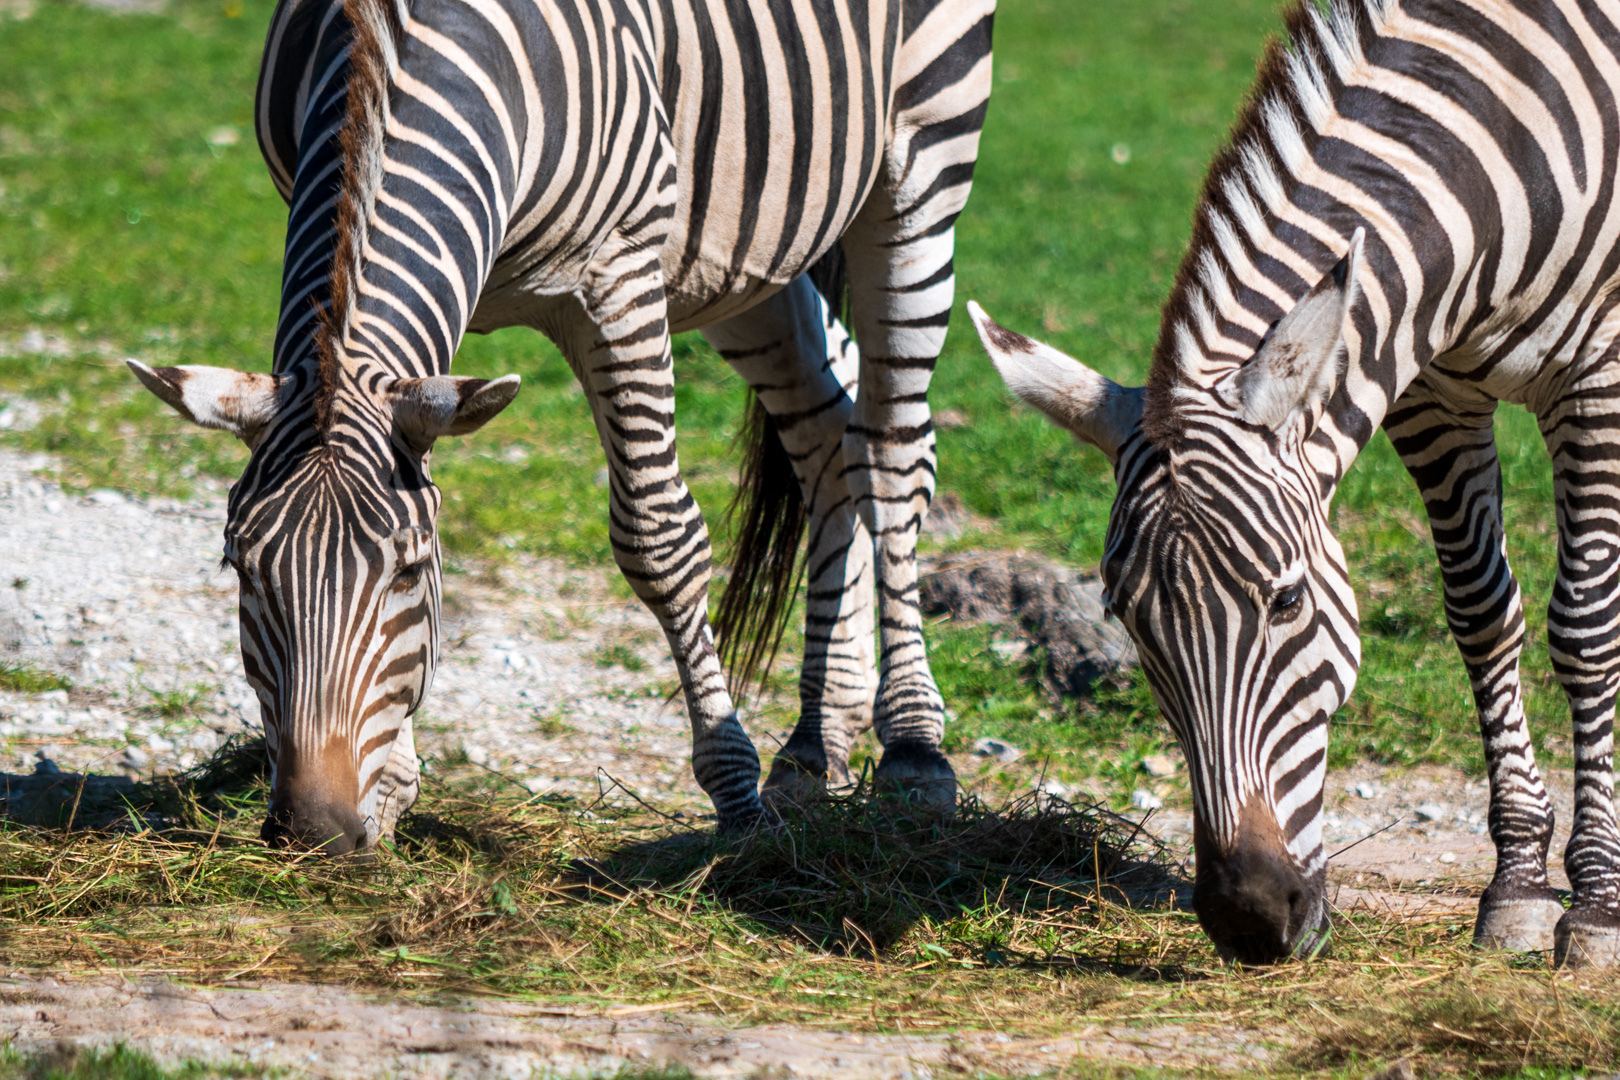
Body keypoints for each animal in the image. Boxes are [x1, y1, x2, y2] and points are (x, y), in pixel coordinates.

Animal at [123, 0, 984, 854]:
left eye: (409, 568)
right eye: (239, 567)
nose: (314, 834)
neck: (390, 46)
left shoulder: (618, 274)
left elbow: (659, 539)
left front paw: (736, 802)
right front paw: (393, 786)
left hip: (923, 151)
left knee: (890, 449)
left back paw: (914, 748)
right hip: (740, 250)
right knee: (827, 431)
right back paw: (815, 741)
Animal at [972, 0, 1620, 971]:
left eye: (1286, 602)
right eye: (1124, 618)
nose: (1248, 917)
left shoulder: (1599, 375)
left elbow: (1584, 627)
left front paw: (1597, 906)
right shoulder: (1429, 391)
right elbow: (1480, 613)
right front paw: (1518, 887)